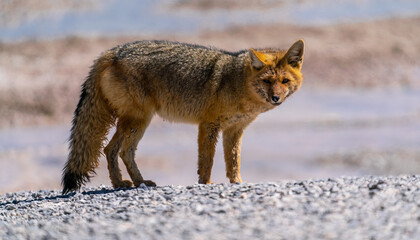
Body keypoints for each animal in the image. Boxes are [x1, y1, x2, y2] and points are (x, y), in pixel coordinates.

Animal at [60, 39, 304, 193]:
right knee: (118, 150)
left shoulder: (234, 130)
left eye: (284, 81)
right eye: (267, 81)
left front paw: (238, 183)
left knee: (113, 150)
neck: (237, 82)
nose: (275, 98)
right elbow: (207, 160)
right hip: (138, 120)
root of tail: (110, 52)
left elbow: (233, 161)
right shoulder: (208, 125)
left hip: (136, 122)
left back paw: (127, 183)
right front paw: (206, 183)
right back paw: (131, 182)